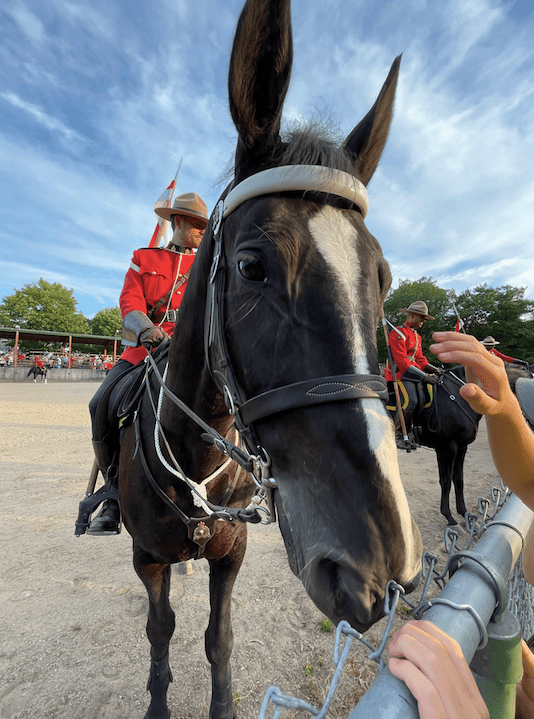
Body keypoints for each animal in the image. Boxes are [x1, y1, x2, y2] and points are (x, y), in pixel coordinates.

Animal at [103, 1, 424, 717]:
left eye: (382, 276)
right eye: (251, 265)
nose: (379, 568)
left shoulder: (234, 553)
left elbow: (219, 637)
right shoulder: (145, 557)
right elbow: (160, 629)